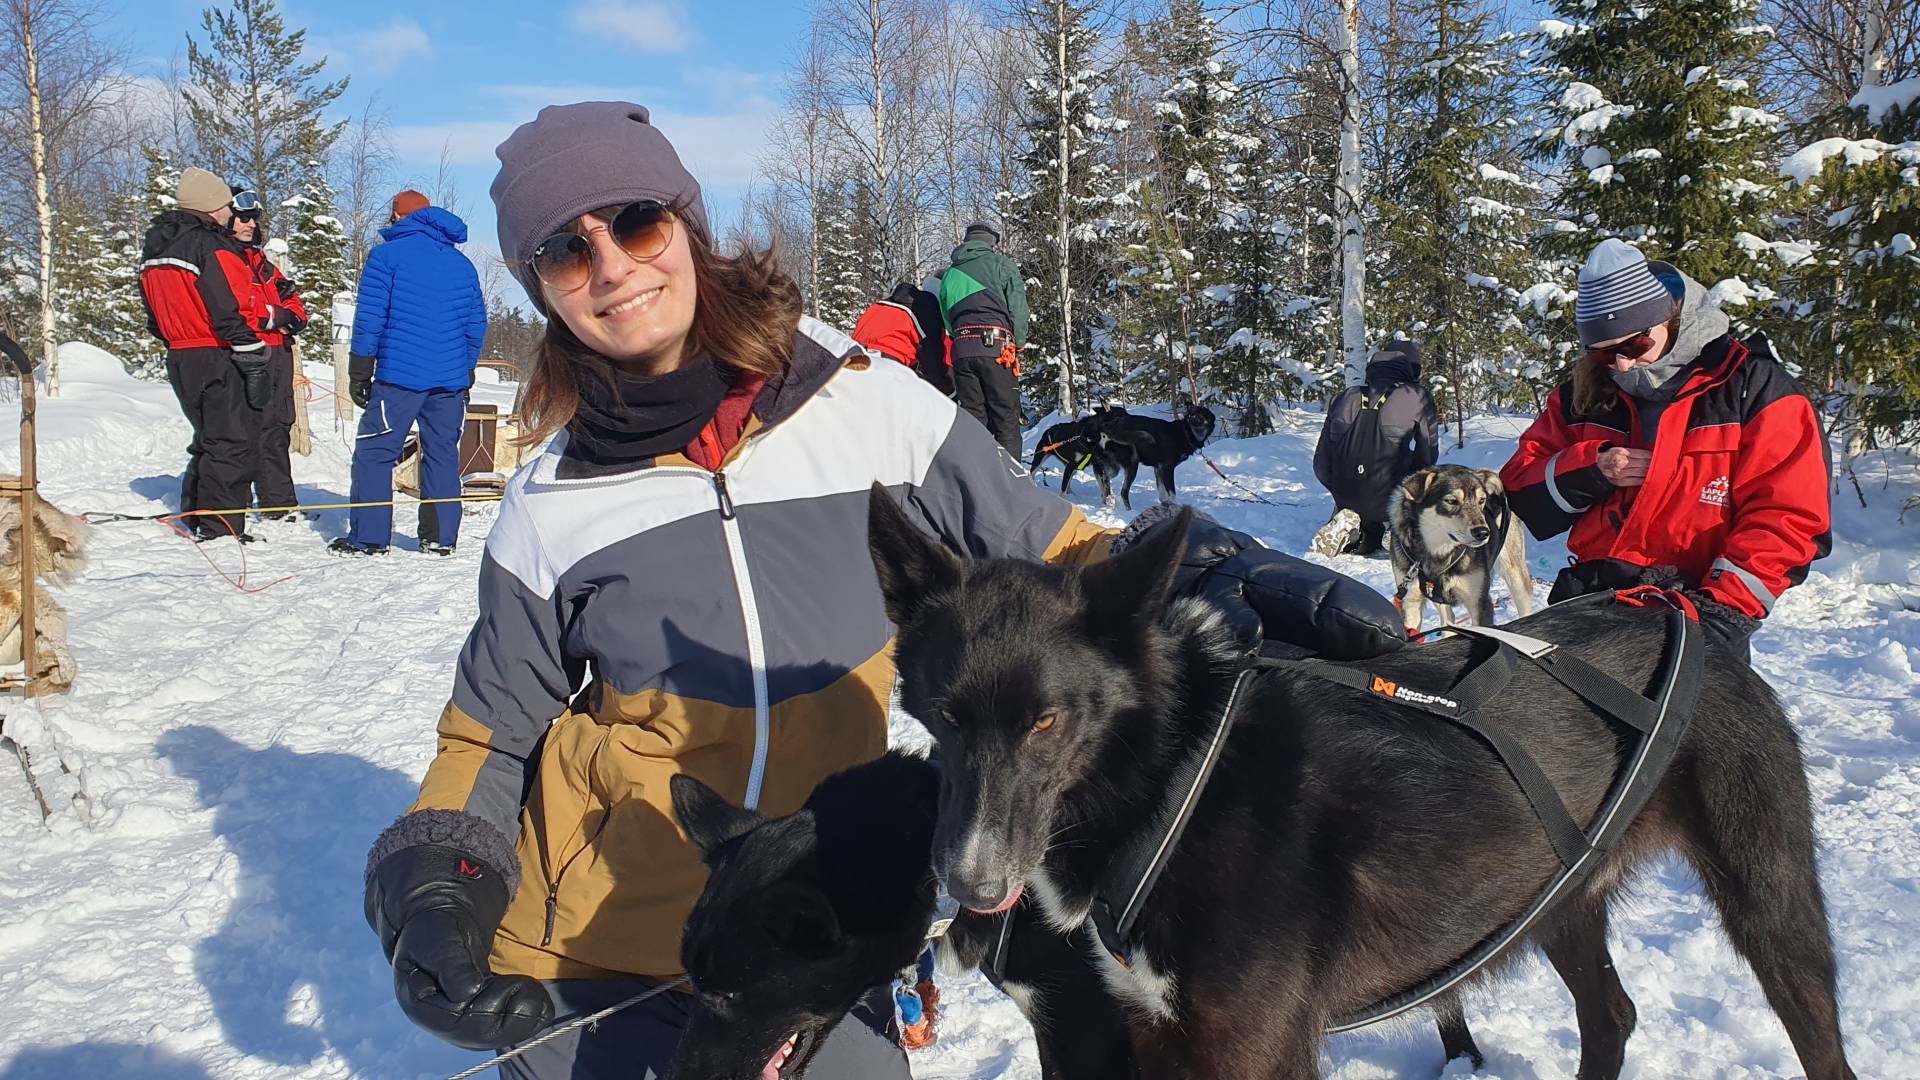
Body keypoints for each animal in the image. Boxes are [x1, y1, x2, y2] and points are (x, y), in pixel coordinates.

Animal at [869, 487, 1855, 1079]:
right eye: (943, 716)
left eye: (1047, 721)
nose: (971, 883)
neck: (1179, 783)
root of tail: (1681, 610)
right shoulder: (1148, 1029)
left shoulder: (1248, 1047)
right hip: (1558, 899)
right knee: (1610, 1013)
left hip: (1771, 903)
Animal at [1388, 464, 1533, 636]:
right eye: (1451, 500)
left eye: (1481, 500)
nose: (1483, 532)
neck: (1439, 552)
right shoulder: (1410, 603)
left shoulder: (1479, 603)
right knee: (1448, 618)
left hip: (1516, 578)